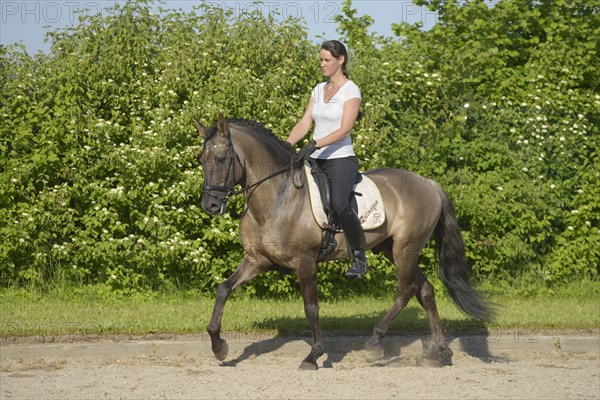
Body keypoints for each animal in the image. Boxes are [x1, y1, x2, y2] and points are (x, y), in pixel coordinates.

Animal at [196, 117, 492, 370]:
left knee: (406, 290)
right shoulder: (258, 259)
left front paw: (314, 355)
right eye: (201, 160)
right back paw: (438, 351)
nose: (210, 205)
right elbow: (223, 289)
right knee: (426, 291)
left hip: (405, 248)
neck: (277, 196)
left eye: (221, 159)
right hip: (391, 249)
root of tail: (429, 183)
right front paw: (219, 346)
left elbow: (311, 308)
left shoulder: (305, 261)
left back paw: (375, 342)